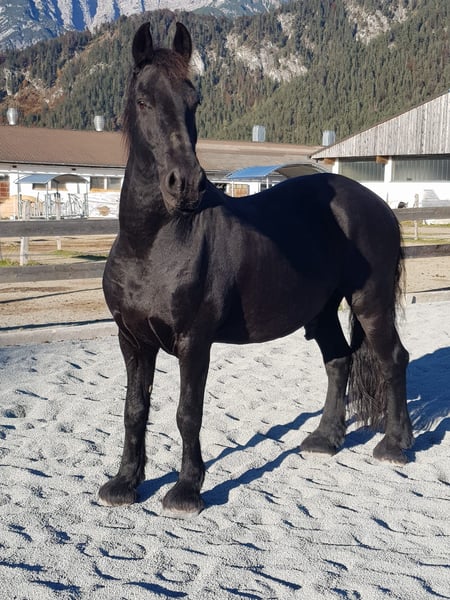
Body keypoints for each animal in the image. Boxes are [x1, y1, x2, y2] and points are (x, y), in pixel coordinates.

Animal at [98, 22, 413, 516]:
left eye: (193, 101)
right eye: (144, 101)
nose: (186, 184)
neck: (152, 245)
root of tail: (374, 203)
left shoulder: (194, 343)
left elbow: (187, 413)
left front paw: (186, 491)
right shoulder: (132, 341)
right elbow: (135, 410)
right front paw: (124, 483)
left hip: (371, 302)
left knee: (392, 359)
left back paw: (395, 446)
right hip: (322, 311)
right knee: (339, 360)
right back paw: (325, 440)